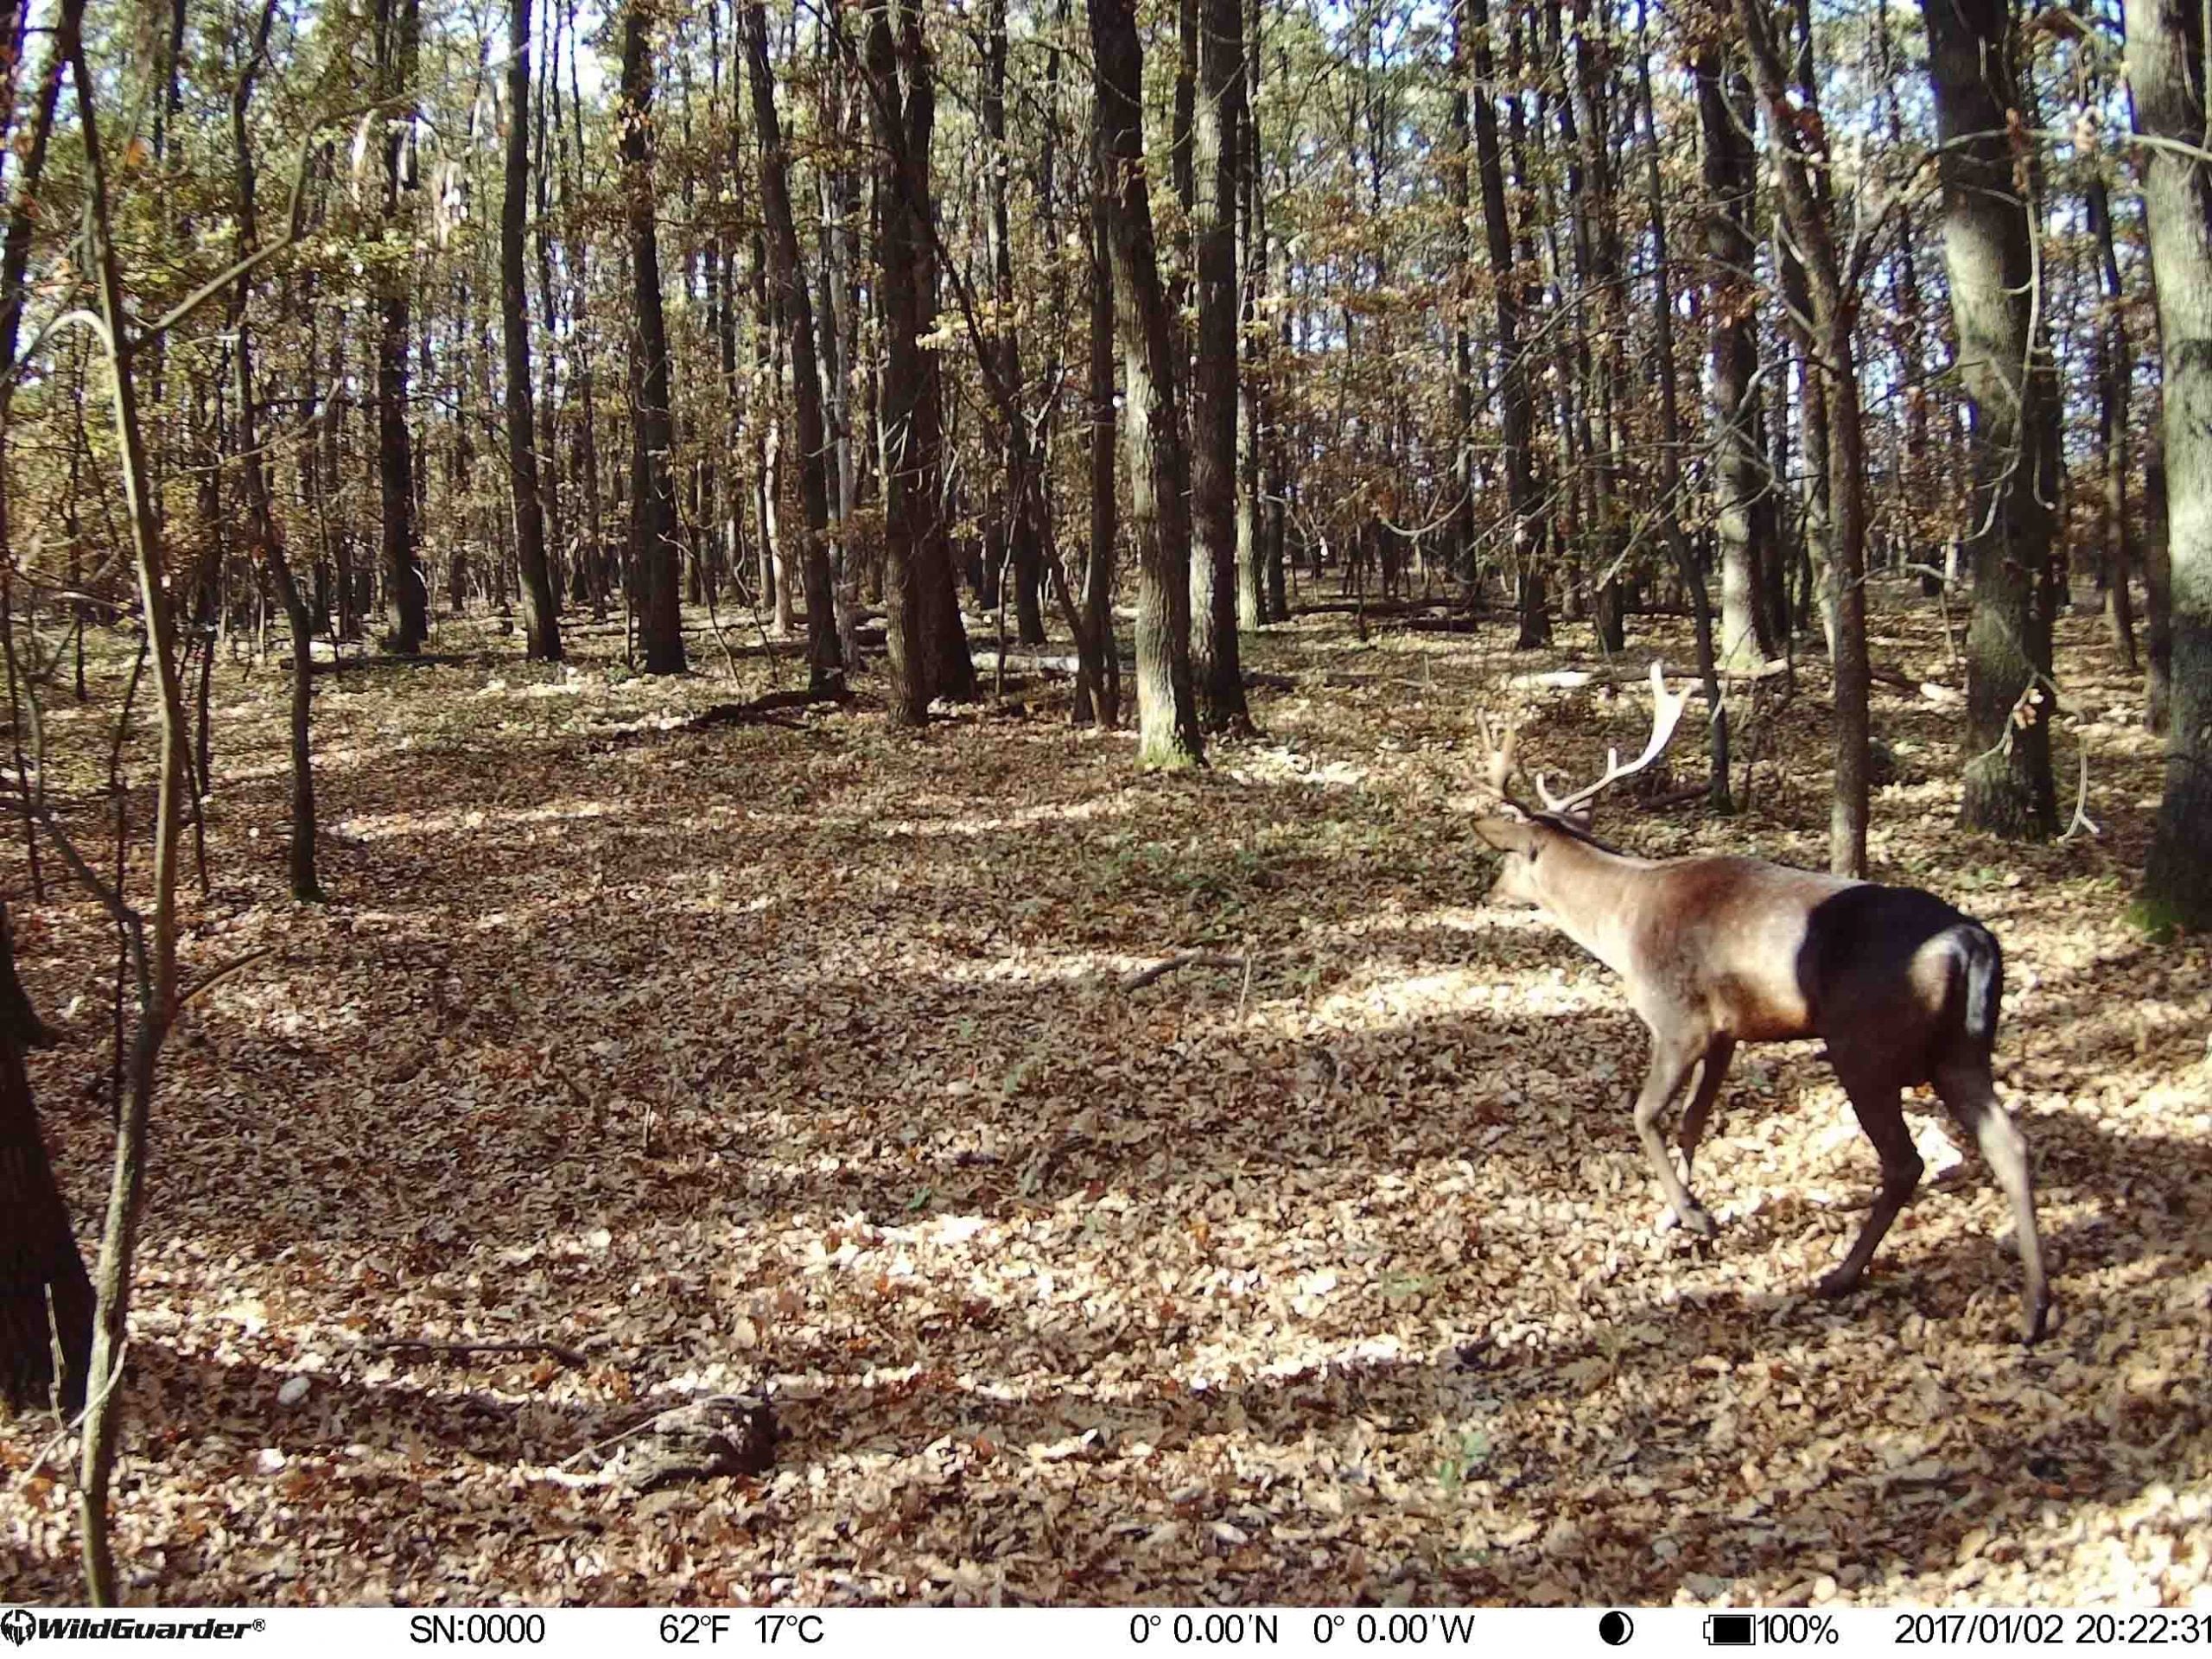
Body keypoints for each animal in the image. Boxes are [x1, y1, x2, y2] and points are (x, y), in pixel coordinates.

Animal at [1470, 662, 2050, 1344]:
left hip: (1864, 1044)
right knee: (2010, 1146)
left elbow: (1645, 1114)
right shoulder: (1728, 1031)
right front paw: (1679, 1215)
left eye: (1509, 856)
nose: (1490, 889)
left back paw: (1840, 1275)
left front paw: (1691, 1215)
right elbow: (1692, 1122)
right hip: (1960, 1049)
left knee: (1905, 1161)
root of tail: (1972, 941)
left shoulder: (1679, 1019)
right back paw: (2034, 1311)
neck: (1623, 923)